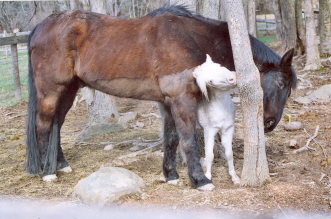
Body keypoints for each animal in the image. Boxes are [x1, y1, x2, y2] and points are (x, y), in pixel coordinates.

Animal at [192, 54, 241, 184]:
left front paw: (234, 177)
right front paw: (208, 176)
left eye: (220, 66)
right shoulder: (209, 130)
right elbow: (210, 154)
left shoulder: (228, 129)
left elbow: (229, 154)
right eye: (210, 81)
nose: (233, 78)